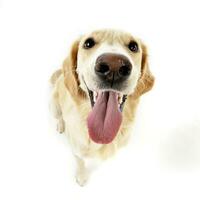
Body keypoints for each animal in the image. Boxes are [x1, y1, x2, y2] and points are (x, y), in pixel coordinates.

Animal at [50, 29, 155, 186]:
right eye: (88, 43)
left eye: (134, 46)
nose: (114, 66)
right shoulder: (76, 150)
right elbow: (80, 162)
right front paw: (81, 176)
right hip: (54, 105)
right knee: (59, 117)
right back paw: (61, 125)